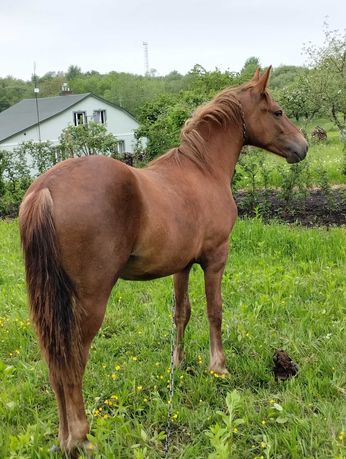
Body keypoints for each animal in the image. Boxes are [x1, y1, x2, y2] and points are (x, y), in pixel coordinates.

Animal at [18, 68, 306, 452]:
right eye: (277, 112)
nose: (303, 146)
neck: (202, 170)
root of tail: (45, 189)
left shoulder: (181, 266)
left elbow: (181, 313)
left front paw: (178, 364)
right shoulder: (215, 259)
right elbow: (214, 311)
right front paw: (219, 366)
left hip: (50, 307)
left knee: (55, 362)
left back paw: (64, 440)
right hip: (88, 302)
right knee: (72, 360)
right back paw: (79, 436)